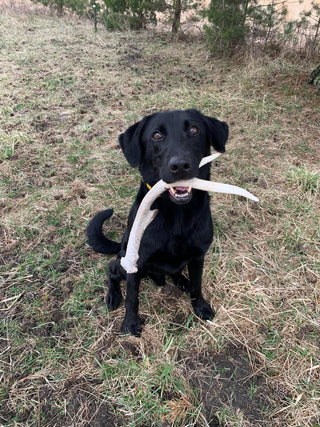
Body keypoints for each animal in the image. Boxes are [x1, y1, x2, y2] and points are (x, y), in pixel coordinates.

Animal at [86, 108, 229, 336]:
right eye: (157, 135)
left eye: (194, 129)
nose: (180, 165)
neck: (177, 215)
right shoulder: (135, 262)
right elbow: (132, 298)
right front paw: (130, 325)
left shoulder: (198, 256)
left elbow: (197, 285)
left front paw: (200, 306)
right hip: (123, 260)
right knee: (112, 269)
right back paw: (113, 295)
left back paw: (181, 281)